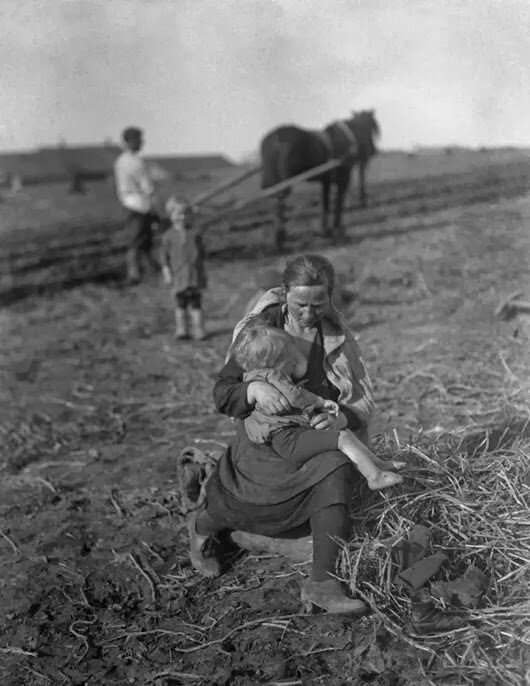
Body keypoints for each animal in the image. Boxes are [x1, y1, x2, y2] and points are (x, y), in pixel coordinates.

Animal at [258, 111, 378, 251]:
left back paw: (280, 237)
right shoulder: (343, 179)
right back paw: (280, 238)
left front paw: (325, 229)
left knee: (276, 201)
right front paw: (336, 227)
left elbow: (325, 202)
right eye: (372, 125)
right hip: (285, 182)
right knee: (281, 201)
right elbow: (338, 201)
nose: (373, 150)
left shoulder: (326, 180)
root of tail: (274, 138)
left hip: (275, 181)